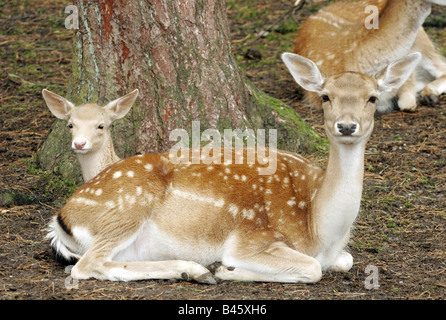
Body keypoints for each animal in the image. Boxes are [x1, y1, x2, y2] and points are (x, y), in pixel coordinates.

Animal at [47, 53, 420, 284]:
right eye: (326, 96)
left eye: (372, 97)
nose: (346, 126)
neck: (318, 227)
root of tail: (61, 218)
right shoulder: (252, 239)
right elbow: (313, 268)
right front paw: (227, 268)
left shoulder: (335, 253)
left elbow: (347, 259)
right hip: (125, 208)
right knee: (86, 265)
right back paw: (199, 269)